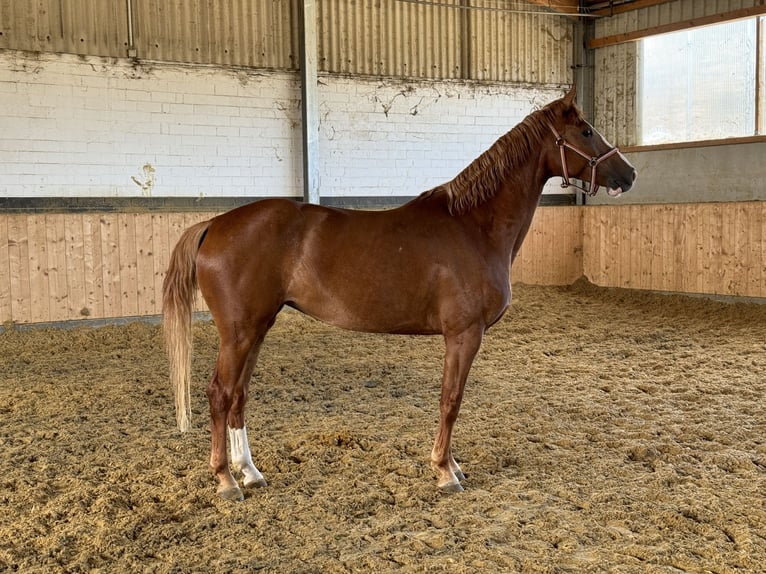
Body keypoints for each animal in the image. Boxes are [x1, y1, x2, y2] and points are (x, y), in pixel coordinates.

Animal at [165, 88, 640, 502]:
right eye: (586, 131)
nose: (630, 173)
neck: (474, 225)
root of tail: (214, 224)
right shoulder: (464, 334)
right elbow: (451, 400)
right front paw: (445, 471)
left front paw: (451, 465)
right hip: (239, 332)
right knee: (219, 393)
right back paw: (226, 480)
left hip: (258, 328)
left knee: (239, 395)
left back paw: (250, 471)